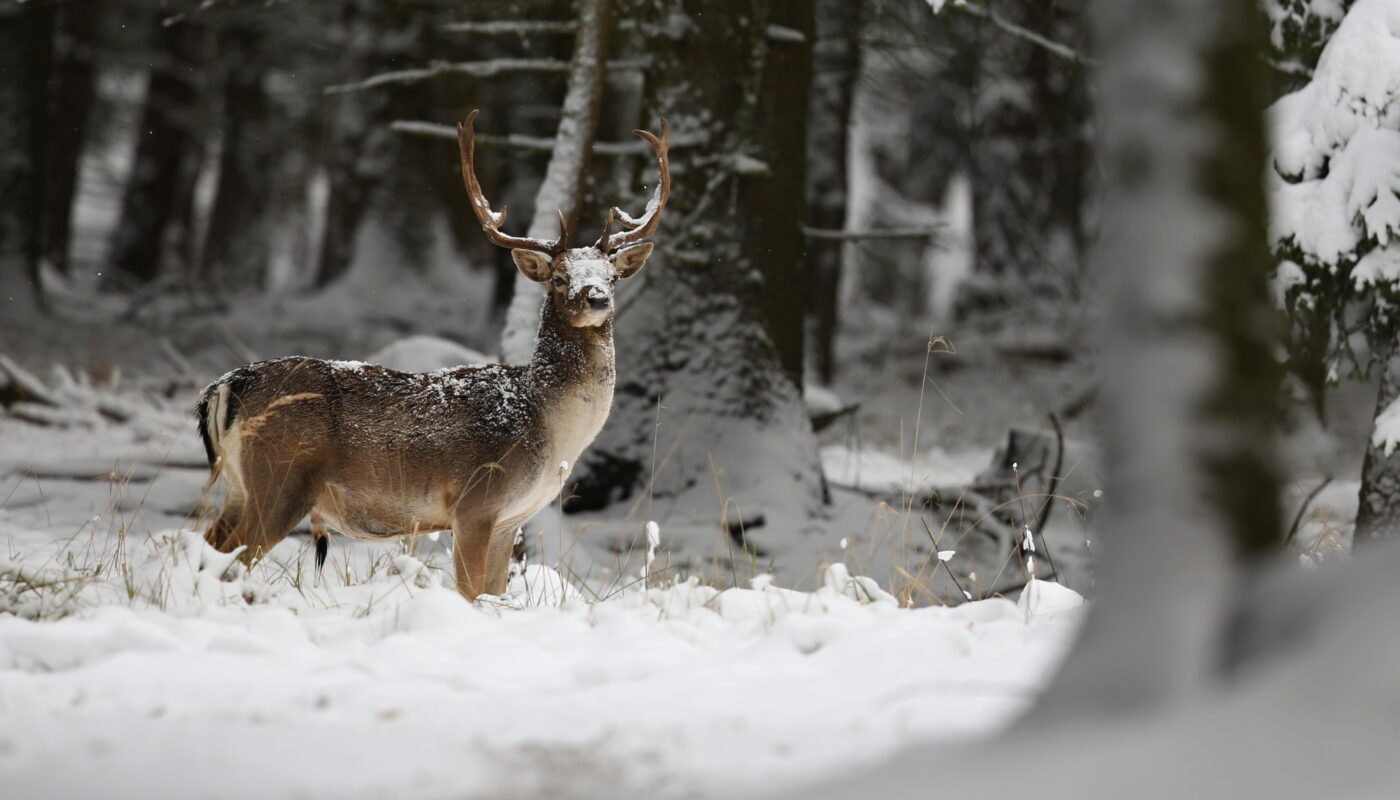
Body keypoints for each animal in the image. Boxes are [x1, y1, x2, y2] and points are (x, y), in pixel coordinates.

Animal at [194, 109, 669, 600]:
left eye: (612, 276)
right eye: (558, 277)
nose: (596, 298)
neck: (549, 427)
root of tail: (226, 384)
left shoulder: (510, 519)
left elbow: (494, 592)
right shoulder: (475, 501)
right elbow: (471, 592)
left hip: (239, 486)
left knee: (207, 549)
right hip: (281, 478)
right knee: (232, 559)